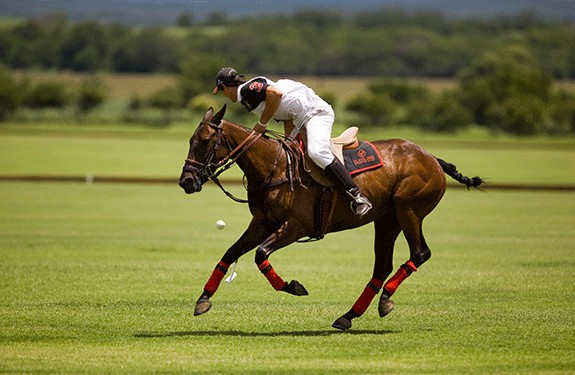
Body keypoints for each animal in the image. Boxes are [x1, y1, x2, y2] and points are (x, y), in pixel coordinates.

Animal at [179, 106, 482, 332]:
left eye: (204, 141)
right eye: (190, 141)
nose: (186, 182)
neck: (274, 167)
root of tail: (432, 157)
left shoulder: (296, 225)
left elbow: (260, 254)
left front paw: (293, 287)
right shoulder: (262, 223)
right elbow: (230, 252)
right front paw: (203, 299)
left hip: (409, 211)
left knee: (420, 253)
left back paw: (384, 298)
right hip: (387, 220)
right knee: (382, 266)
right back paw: (349, 315)